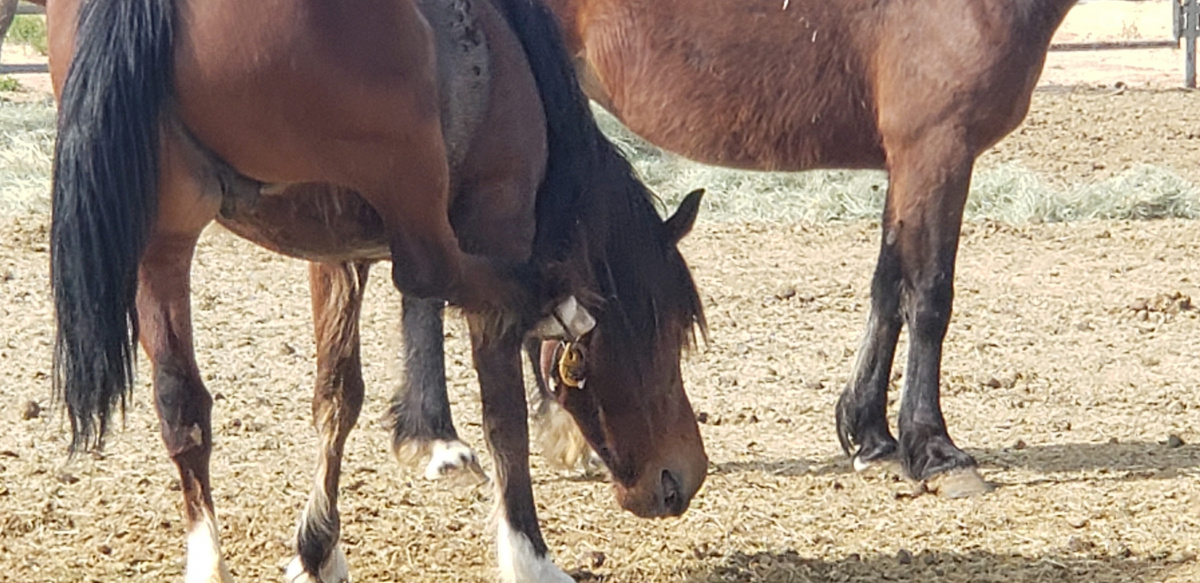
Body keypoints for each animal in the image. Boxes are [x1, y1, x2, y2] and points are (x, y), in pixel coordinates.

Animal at [46, 0, 705, 578]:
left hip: (164, 237)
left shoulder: (336, 254)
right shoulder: (498, 217)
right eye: (667, 333)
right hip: (405, 176)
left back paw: (208, 563)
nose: (683, 478)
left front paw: (318, 549)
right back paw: (555, 301)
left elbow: (337, 396)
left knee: (180, 405)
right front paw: (530, 558)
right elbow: (503, 414)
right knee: (430, 270)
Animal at [391, 0, 1080, 496]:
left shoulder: (908, 162)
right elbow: (929, 297)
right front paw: (935, 451)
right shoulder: (938, 148)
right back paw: (439, 443)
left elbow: (889, 291)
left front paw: (871, 437)